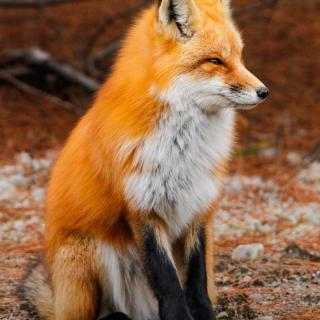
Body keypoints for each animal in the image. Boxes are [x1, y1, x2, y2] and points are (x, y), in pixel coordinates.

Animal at [22, 0, 268, 320]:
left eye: (239, 57)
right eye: (215, 61)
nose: (264, 92)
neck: (181, 151)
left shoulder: (198, 207)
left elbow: (196, 283)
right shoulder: (143, 208)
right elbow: (168, 282)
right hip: (87, 254)